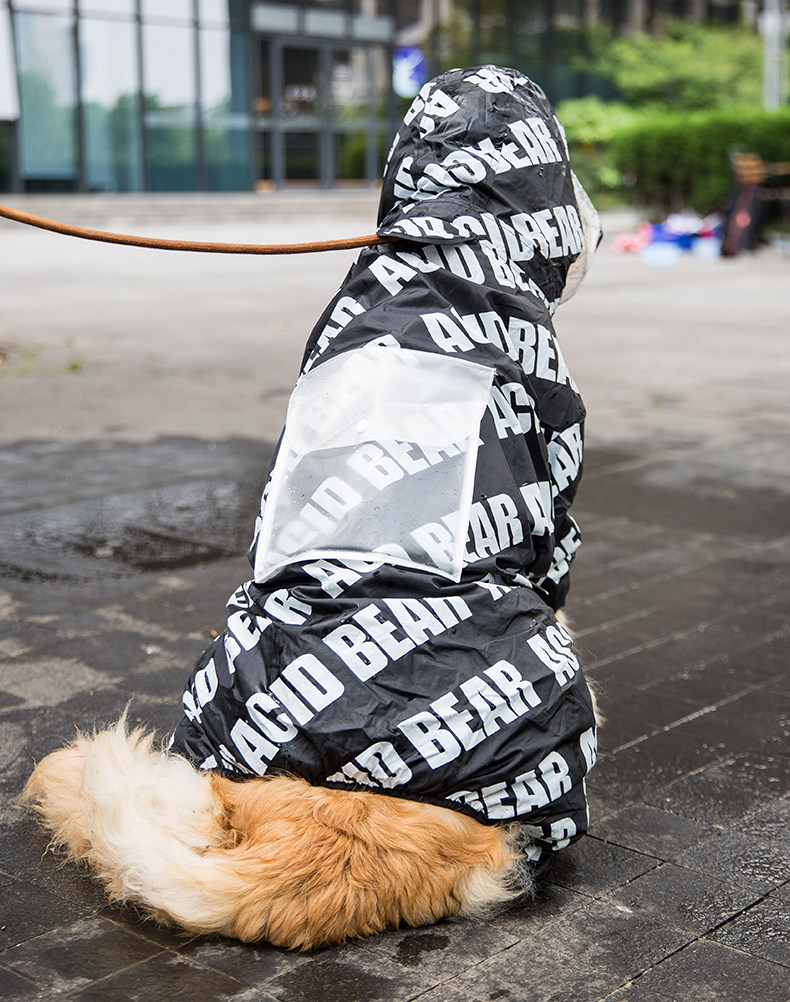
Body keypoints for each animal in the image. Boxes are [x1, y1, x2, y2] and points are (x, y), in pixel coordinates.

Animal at [23, 66, 601, 951]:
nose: (601, 227)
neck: (442, 236)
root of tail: (328, 830)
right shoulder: (558, 456)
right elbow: (557, 539)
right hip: (554, 671)